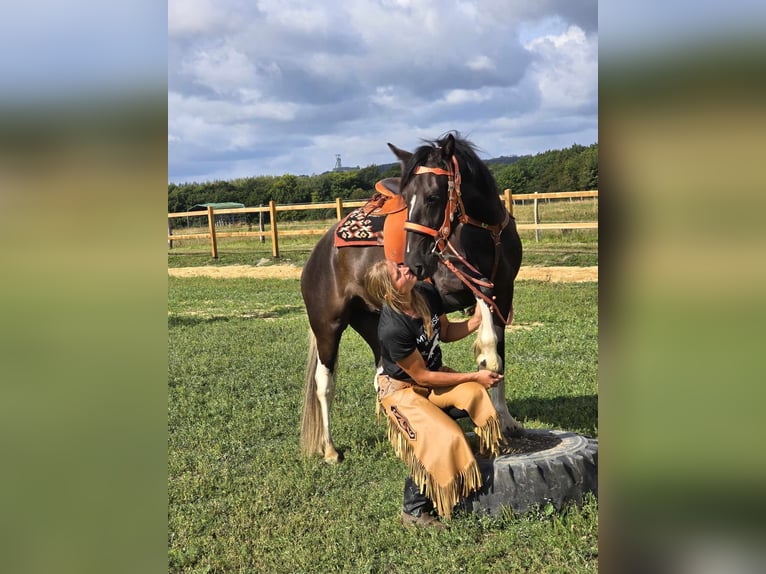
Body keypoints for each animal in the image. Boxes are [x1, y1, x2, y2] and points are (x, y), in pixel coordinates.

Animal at [300, 132, 520, 464]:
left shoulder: (504, 296)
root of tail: (320, 251)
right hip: (327, 326)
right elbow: (489, 347)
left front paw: (505, 419)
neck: (487, 233)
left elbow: (500, 356)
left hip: (371, 322)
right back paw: (330, 449)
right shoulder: (464, 288)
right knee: (324, 383)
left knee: (381, 373)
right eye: (408, 197)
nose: (414, 262)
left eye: (433, 197)